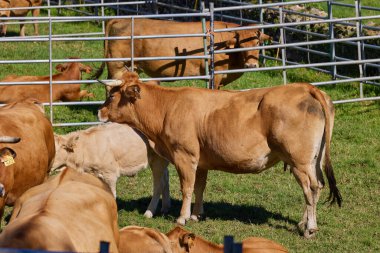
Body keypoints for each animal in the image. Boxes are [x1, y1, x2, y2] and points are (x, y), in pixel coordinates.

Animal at [91, 18, 270, 89]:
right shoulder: (217, 76)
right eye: (241, 44)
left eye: (258, 43)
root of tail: (122, 19)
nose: (251, 65)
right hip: (118, 66)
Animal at [97, 72, 342, 238]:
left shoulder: (184, 155)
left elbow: (187, 187)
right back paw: (303, 223)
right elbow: (199, 187)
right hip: (313, 161)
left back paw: (310, 228)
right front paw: (197, 214)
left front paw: (182, 217)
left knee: (310, 189)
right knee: (317, 186)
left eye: (112, 96)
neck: (167, 107)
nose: (100, 111)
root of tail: (306, 88)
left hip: (300, 161)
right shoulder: (201, 162)